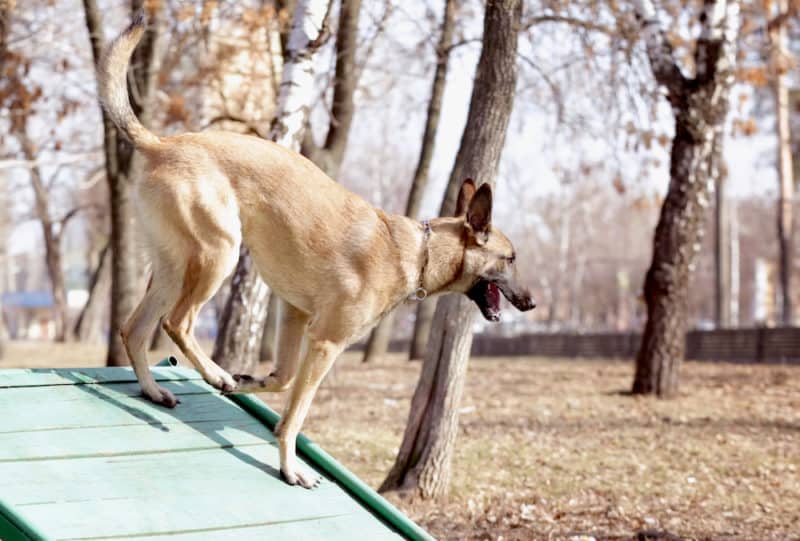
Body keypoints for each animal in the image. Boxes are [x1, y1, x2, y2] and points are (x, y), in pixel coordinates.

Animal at [101, 19, 536, 488]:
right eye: (511, 259)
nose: (532, 302)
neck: (418, 252)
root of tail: (162, 143)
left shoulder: (293, 315)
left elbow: (282, 379)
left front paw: (247, 380)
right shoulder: (326, 343)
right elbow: (296, 414)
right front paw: (290, 465)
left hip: (174, 267)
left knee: (134, 329)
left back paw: (156, 389)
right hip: (219, 253)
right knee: (177, 321)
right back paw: (212, 371)